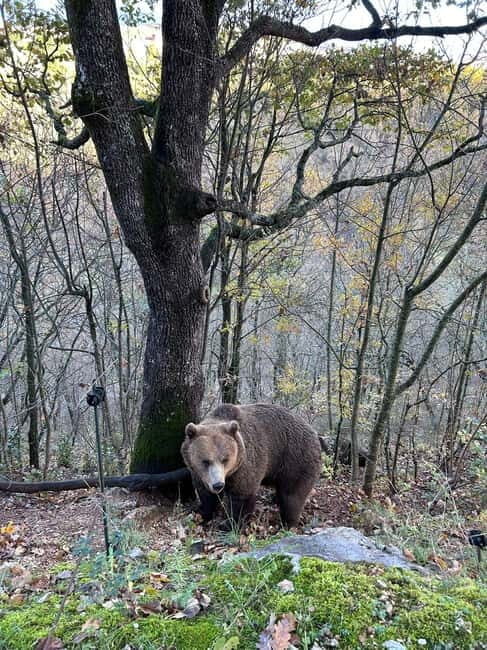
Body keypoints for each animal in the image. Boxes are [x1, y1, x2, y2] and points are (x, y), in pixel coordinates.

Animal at [181, 403, 321, 528]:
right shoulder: (200, 473)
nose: (218, 485)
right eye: (205, 461)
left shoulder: (245, 465)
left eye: (225, 459)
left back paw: (287, 523)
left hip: (294, 459)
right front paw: (202, 513)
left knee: (292, 495)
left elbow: (242, 496)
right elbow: (205, 493)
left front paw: (228, 524)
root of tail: (314, 432)